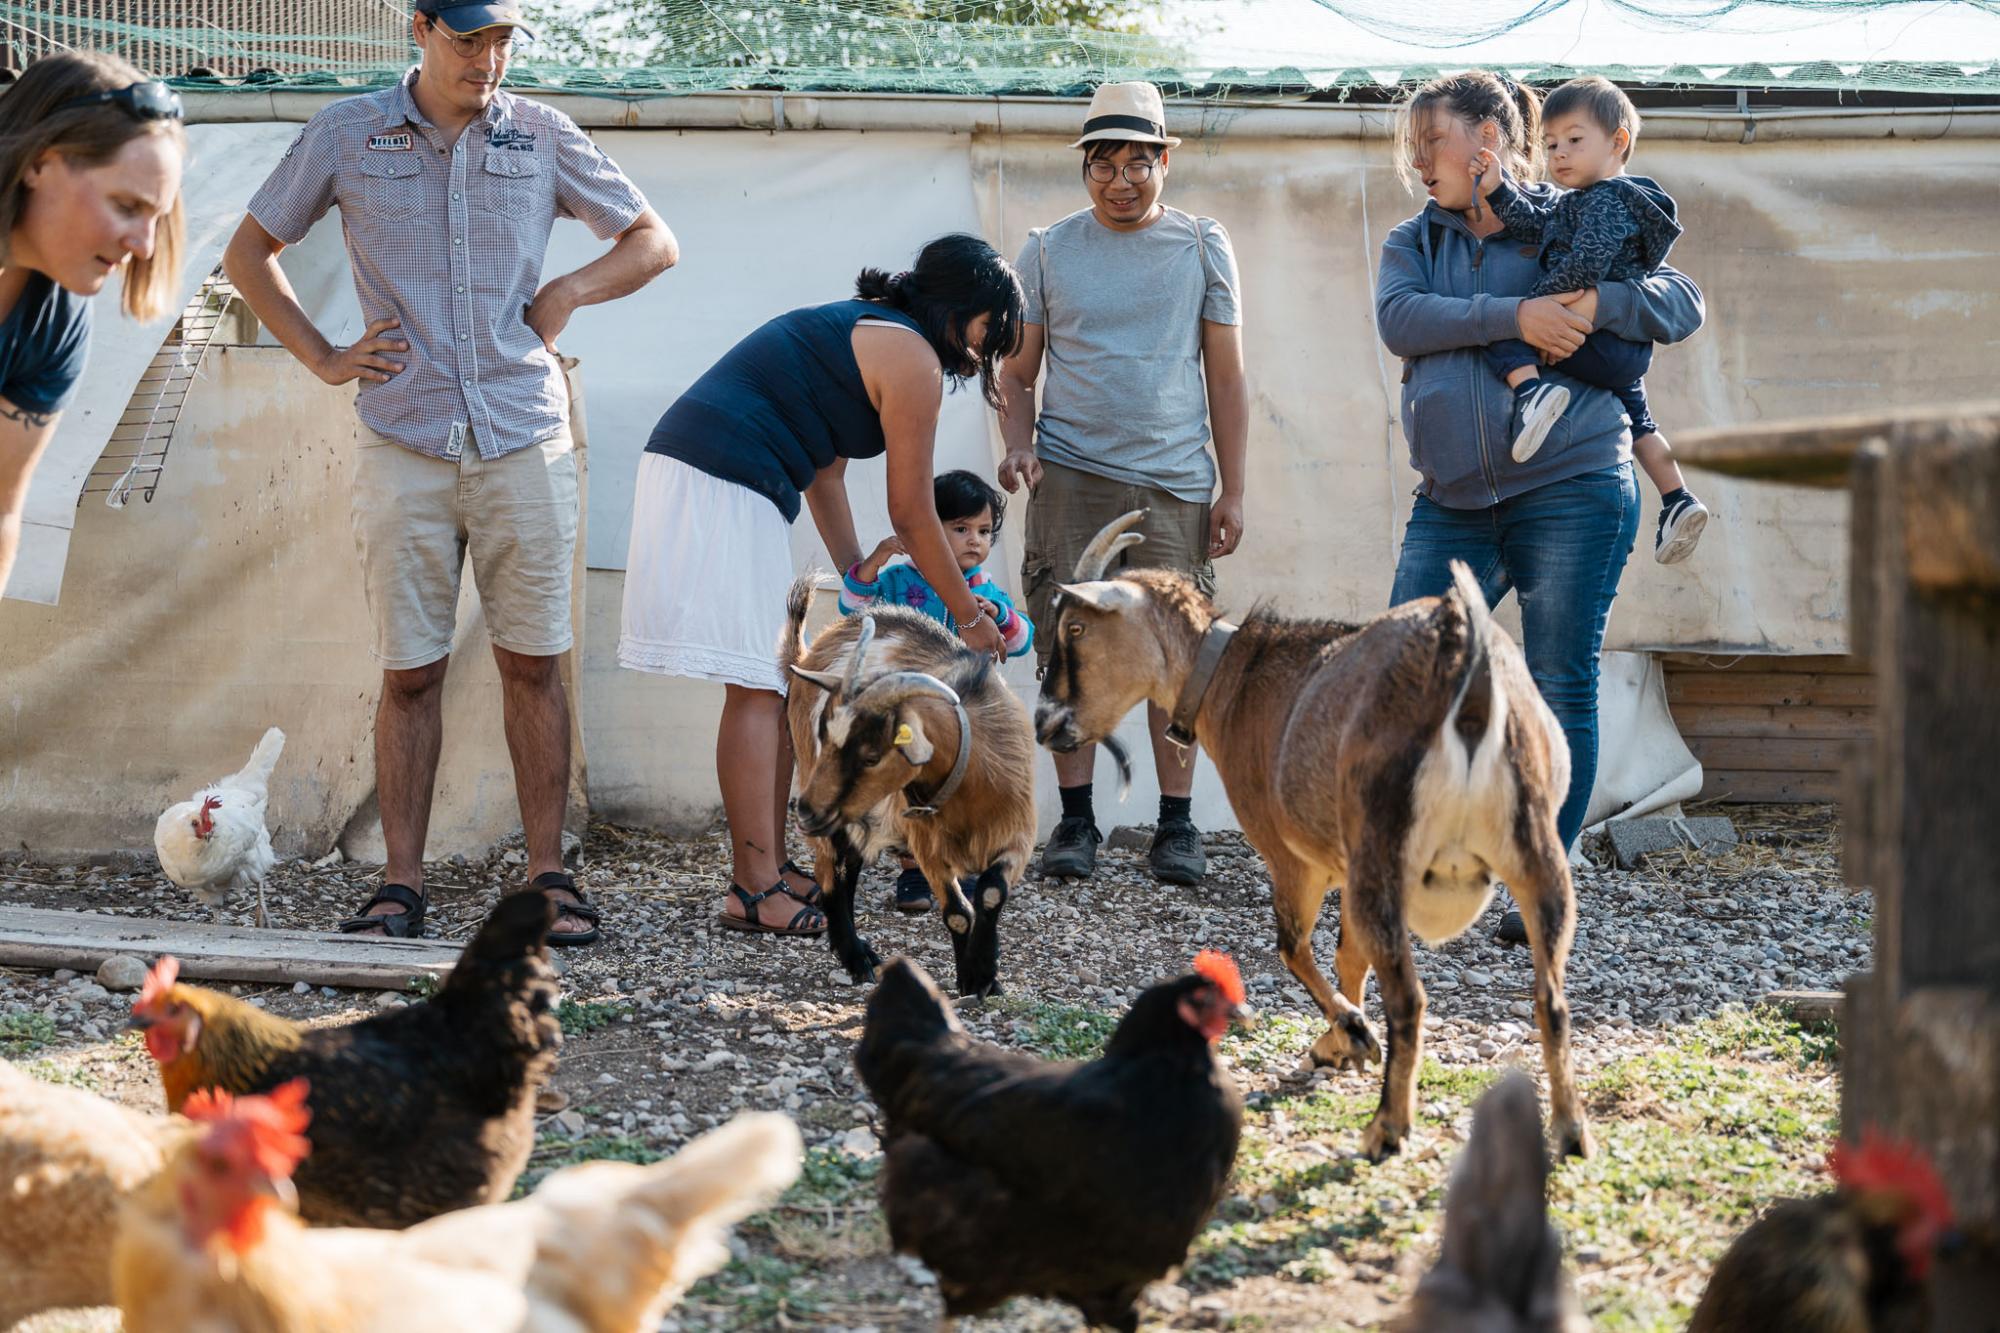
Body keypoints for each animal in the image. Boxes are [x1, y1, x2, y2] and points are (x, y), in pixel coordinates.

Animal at [780, 576, 1040, 992]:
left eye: (871, 756)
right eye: (826, 737)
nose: (805, 810)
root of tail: (807, 656)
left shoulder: (1018, 834)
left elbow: (989, 893)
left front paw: (986, 973)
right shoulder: (928, 846)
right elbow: (958, 913)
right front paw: (973, 979)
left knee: (846, 864)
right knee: (831, 869)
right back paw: (856, 957)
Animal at [1032, 508, 1592, 1152]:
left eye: (1075, 627)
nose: (1044, 723)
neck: (1233, 679)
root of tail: (1464, 665)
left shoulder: (1294, 860)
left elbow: (1293, 947)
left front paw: (1353, 1034)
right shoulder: (1346, 864)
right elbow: (1350, 955)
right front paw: (1339, 1043)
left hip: (1387, 854)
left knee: (1410, 997)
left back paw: (1387, 1127)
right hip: (1536, 855)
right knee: (1551, 999)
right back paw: (1571, 1130)